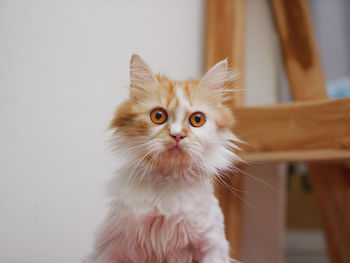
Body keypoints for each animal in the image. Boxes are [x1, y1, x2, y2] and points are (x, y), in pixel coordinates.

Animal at [84, 54, 241, 262]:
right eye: (158, 116)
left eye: (197, 119)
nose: (177, 135)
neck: (168, 182)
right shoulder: (112, 247)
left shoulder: (212, 245)